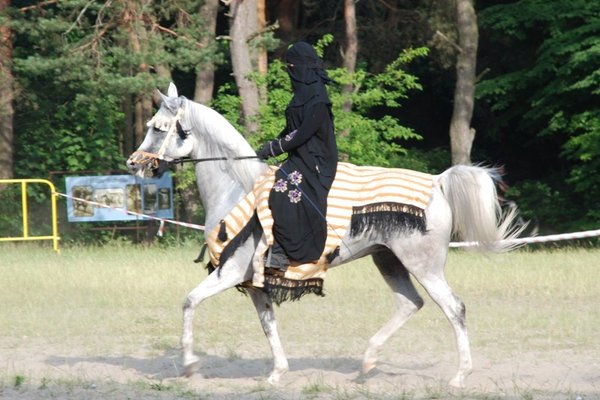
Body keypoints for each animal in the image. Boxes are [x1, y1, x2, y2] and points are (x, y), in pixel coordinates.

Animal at [126, 83, 524, 388]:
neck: (237, 188)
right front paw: (277, 373)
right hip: (388, 259)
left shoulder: (230, 273)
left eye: (159, 127)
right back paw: (368, 362)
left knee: (454, 308)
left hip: (423, 265)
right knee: (410, 303)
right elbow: (268, 324)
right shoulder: (255, 282)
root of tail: (438, 182)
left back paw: (459, 376)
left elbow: (189, 302)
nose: (134, 163)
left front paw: (190, 364)